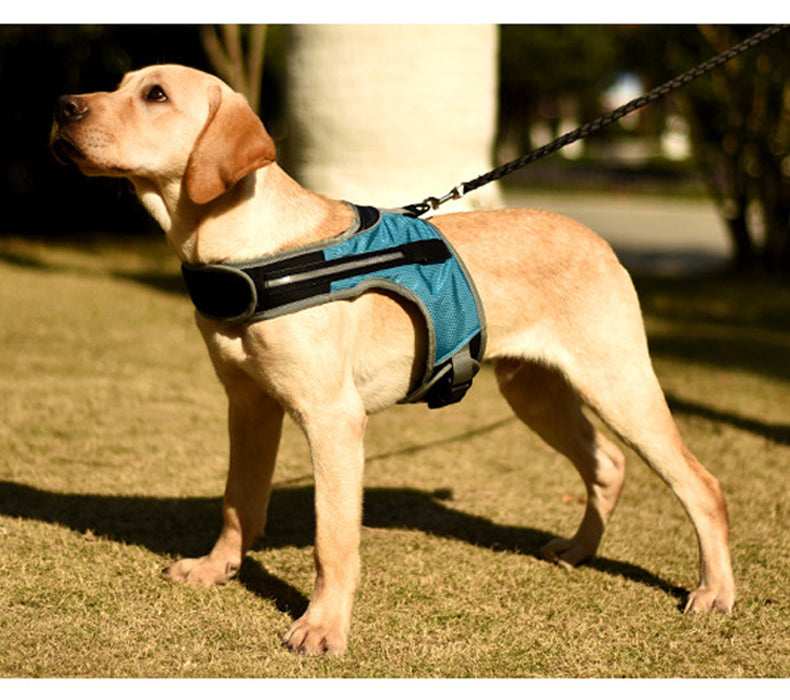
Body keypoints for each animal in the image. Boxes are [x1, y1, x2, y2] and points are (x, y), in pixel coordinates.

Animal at [51, 63, 736, 652]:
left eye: (156, 95)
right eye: (120, 85)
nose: (62, 107)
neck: (251, 251)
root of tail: (599, 240)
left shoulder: (333, 419)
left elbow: (332, 540)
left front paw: (322, 627)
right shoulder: (249, 406)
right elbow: (237, 501)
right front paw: (217, 568)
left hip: (616, 381)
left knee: (700, 484)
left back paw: (714, 592)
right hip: (536, 390)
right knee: (608, 464)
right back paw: (577, 550)